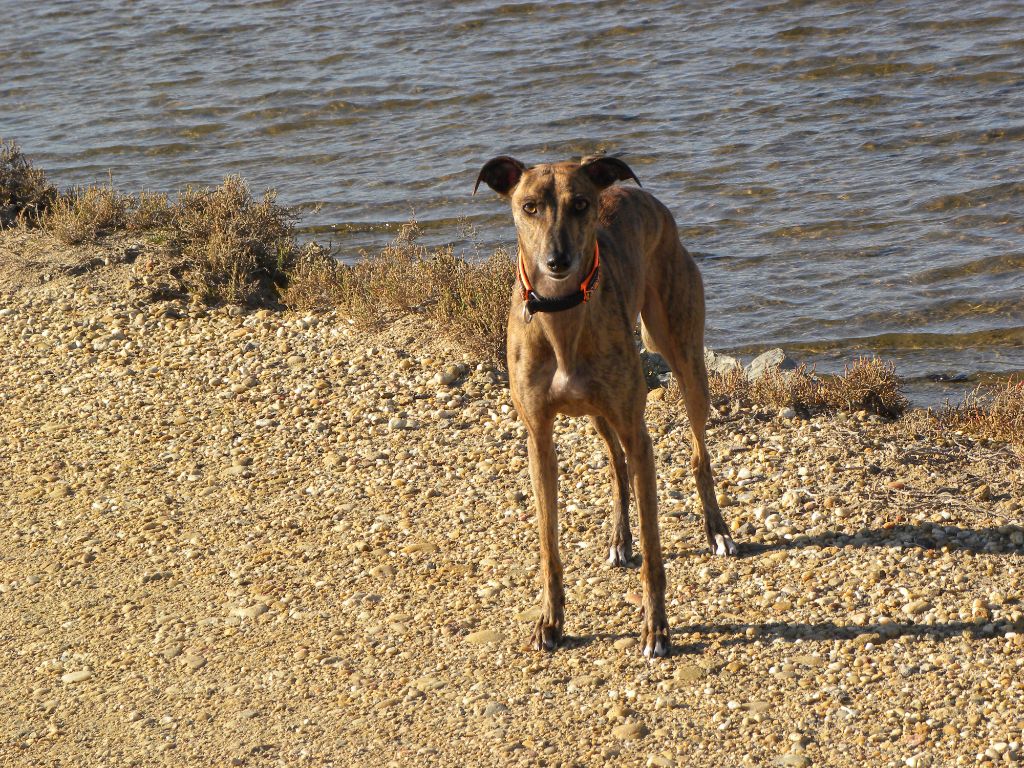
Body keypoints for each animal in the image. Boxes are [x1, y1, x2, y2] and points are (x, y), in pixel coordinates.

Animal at [475, 156, 733, 663]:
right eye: (529, 206)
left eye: (580, 204)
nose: (557, 262)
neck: (561, 315)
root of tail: (641, 195)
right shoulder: (538, 439)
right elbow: (549, 547)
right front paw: (549, 623)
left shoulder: (638, 433)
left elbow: (655, 555)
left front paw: (656, 630)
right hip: (598, 409)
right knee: (616, 464)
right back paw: (619, 537)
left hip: (683, 357)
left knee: (698, 454)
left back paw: (716, 530)